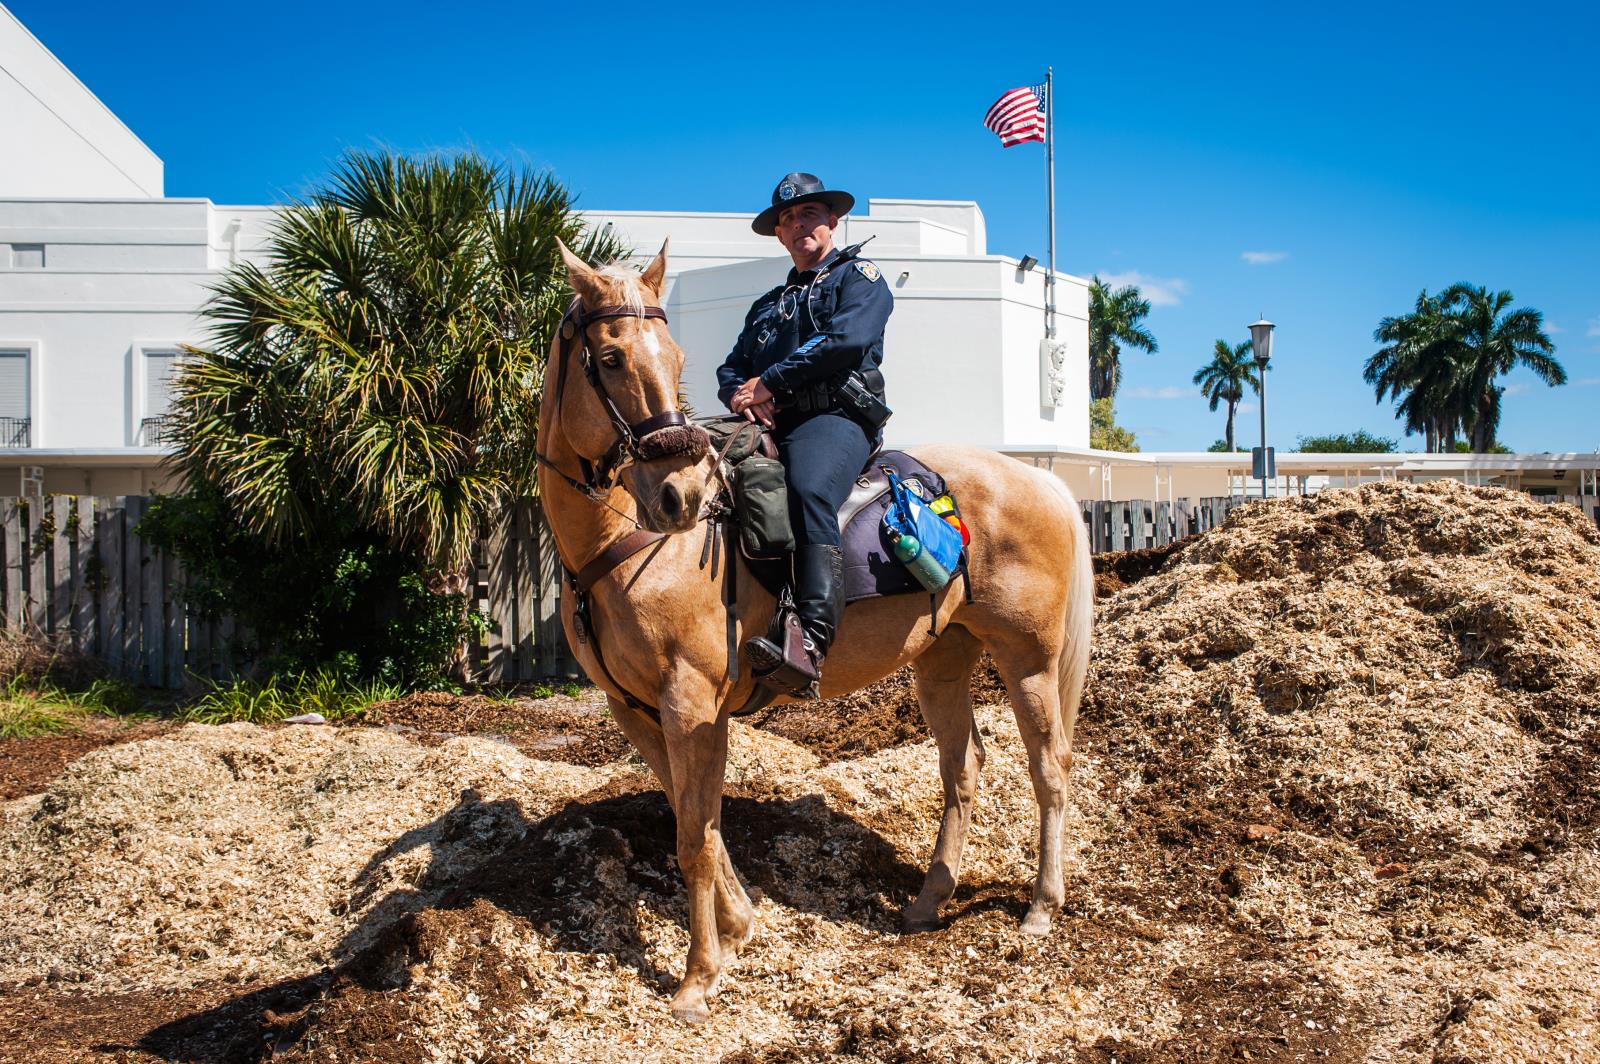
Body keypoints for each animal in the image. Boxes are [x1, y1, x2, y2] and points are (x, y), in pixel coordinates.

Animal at [544, 240, 1094, 1024]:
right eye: (613, 357)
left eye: (674, 358)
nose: (679, 496)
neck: (622, 545)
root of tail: (1037, 479)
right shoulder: (637, 710)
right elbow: (697, 819)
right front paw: (739, 927)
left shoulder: (692, 705)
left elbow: (693, 838)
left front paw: (697, 975)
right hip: (942, 660)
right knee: (963, 768)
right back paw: (928, 900)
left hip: (1030, 661)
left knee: (1049, 769)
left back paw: (1042, 907)